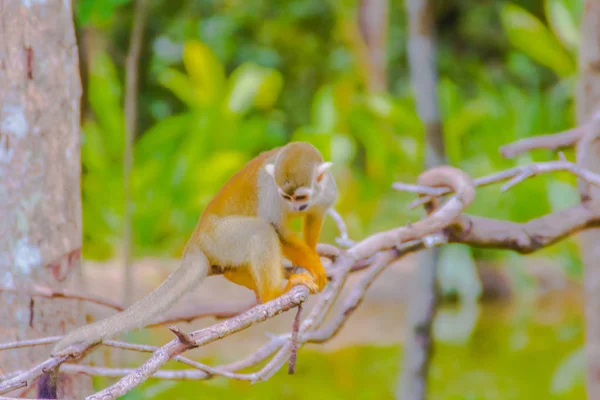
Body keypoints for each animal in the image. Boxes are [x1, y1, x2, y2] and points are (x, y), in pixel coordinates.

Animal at [51, 142, 338, 354]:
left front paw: (313, 259)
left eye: (300, 197)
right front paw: (315, 266)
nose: (296, 206)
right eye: (286, 196)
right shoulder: (271, 192)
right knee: (261, 229)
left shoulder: (326, 191)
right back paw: (273, 292)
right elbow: (277, 228)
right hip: (220, 237)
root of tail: (195, 240)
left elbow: (315, 216)